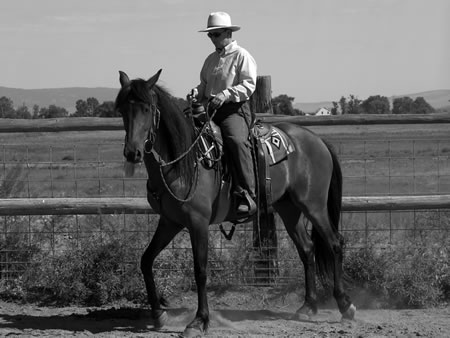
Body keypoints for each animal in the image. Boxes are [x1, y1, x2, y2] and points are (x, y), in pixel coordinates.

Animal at [115, 70, 356, 336]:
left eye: (147, 108)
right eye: (122, 109)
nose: (132, 153)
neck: (183, 162)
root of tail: (317, 140)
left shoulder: (198, 223)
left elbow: (200, 270)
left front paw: (200, 320)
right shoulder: (170, 221)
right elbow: (146, 260)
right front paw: (159, 314)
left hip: (313, 205)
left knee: (334, 244)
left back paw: (345, 305)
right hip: (289, 208)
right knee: (307, 249)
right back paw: (308, 306)